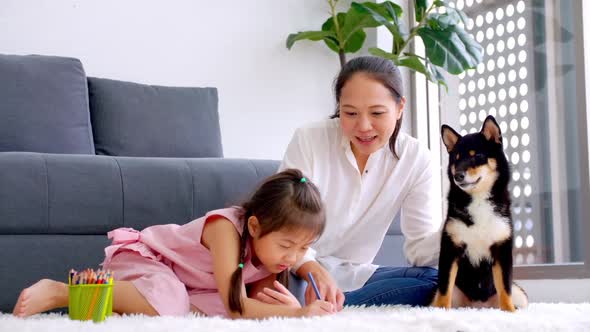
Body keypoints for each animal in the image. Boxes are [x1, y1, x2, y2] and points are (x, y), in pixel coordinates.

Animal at [432, 115, 528, 312]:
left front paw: (509, 311)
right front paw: (440, 311)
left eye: (477, 156)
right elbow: (444, 288)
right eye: (456, 159)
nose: (458, 175)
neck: (478, 199)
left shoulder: (502, 249)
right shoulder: (450, 248)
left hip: (521, 295)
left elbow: (504, 288)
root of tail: (476, 305)